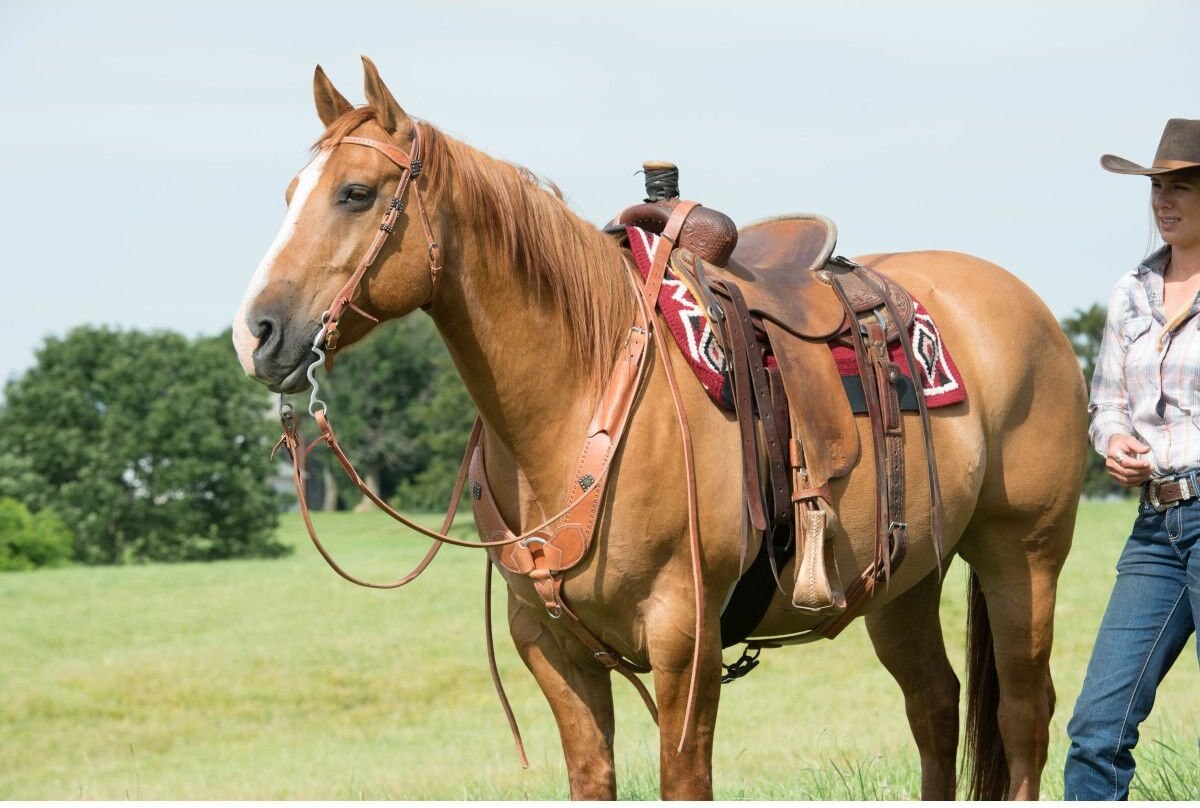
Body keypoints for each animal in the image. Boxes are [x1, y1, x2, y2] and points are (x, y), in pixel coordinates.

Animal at [231, 58, 1089, 801]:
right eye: (290, 192)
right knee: (936, 707)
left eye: (355, 191)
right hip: (905, 579)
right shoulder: (550, 645)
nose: (257, 334)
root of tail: (1027, 307)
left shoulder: (686, 640)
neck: (586, 392)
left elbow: (686, 781)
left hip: (1023, 556)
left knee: (1023, 713)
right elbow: (593, 776)